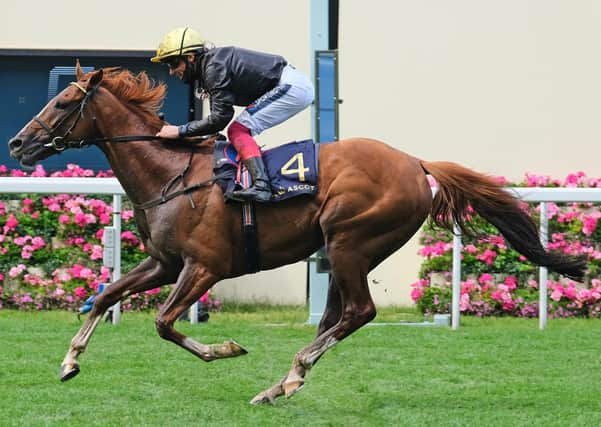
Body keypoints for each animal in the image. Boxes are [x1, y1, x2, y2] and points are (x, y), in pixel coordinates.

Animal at [7, 64, 584, 404]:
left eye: (63, 104)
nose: (17, 143)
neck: (171, 173)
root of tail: (415, 162)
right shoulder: (165, 263)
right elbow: (106, 295)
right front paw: (69, 362)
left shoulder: (203, 268)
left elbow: (165, 324)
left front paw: (227, 349)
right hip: (347, 249)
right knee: (338, 316)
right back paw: (284, 381)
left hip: (350, 239)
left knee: (359, 312)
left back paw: (289, 375)